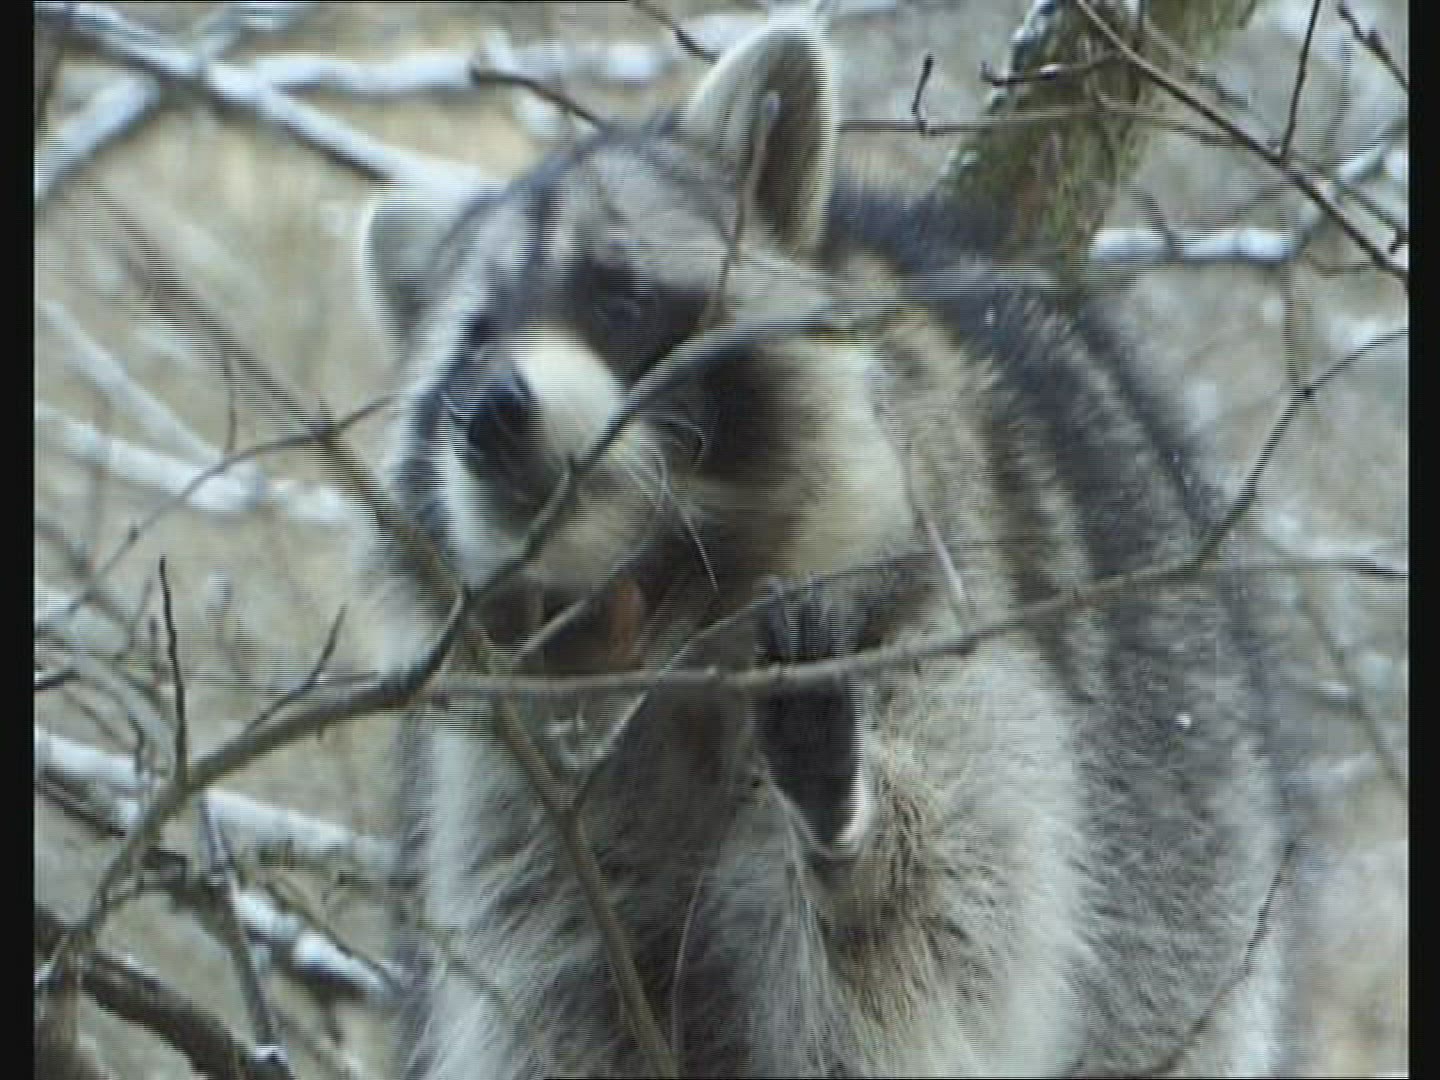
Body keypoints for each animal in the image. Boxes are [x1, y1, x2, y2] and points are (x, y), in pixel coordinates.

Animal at [359, 14, 1296, 1079]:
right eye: (471, 346)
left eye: (620, 302)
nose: (491, 416)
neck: (663, 603)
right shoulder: (516, 786)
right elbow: (543, 990)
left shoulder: (936, 610)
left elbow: (954, 913)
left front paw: (852, 846)